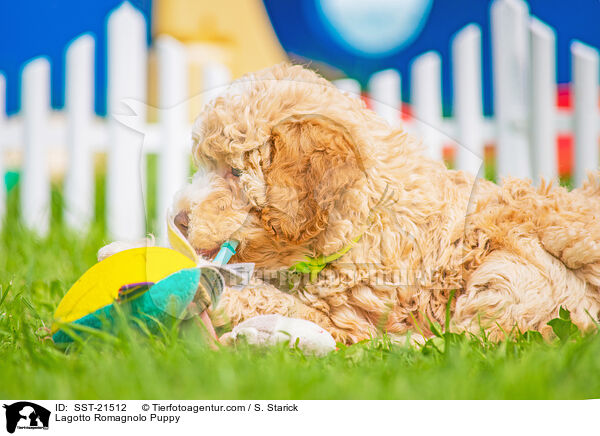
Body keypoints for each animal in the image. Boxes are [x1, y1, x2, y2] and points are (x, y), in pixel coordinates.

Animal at [170, 63, 600, 342]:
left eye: (235, 172)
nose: (178, 220)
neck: (360, 213)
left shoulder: (349, 317)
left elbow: (287, 306)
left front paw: (214, 297)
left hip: (508, 274)